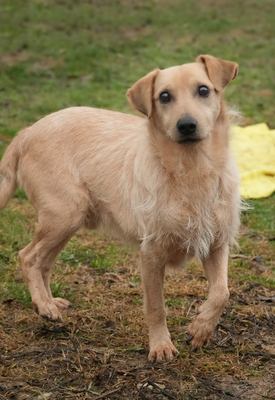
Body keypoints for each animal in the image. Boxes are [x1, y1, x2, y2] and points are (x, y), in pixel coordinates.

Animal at [0, 54, 242, 364]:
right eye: (164, 96)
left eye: (203, 90)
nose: (186, 125)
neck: (191, 168)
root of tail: (27, 131)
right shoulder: (150, 254)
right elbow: (156, 306)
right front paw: (160, 346)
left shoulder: (216, 242)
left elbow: (222, 292)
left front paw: (200, 329)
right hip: (64, 215)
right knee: (28, 256)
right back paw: (43, 304)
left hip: (65, 222)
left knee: (43, 261)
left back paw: (47, 302)